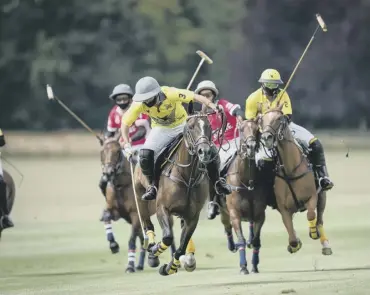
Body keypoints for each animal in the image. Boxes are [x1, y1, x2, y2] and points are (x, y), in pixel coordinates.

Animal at [99, 135, 176, 274]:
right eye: (102, 152)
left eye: (117, 152)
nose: (108, 172)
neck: (121, 185)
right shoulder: (115, 211)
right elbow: (106, 215)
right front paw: (113, 245)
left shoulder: (135, 215)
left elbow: (131, 241)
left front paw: (130, 266)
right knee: (142, 238)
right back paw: (141, 263)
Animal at [134, 112, 215, 276]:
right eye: (191, 127)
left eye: (209, 126)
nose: (205, 151)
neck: (187, 177)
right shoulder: (162, 208)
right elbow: (167, 237)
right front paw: (156, 250)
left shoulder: (192, 217)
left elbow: (182, 245)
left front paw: (170, 267)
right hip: (140, 196)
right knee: (147, 223)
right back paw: (152, 253)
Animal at [218, 118, 270, 276]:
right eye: (241, 129)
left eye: (257, 130)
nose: (251, 146)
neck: (247, 181)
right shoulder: (235, 213)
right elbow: (240, 238)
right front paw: (243, 266)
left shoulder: (259, 213)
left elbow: (256, 240)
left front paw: (254, 265)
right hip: (223, 210)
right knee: (226, 225)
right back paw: (231, 245)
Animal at [258, 104, 332, 256]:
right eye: (262, 119)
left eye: (279, 118)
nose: (267, 137)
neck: (291, 170)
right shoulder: (284, 208)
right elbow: (291, 236)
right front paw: (295, 244)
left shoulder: (312, 196)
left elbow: (311, 215)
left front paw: (313, 232)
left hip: (322, 195)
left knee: (320, 219)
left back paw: (325, 243)